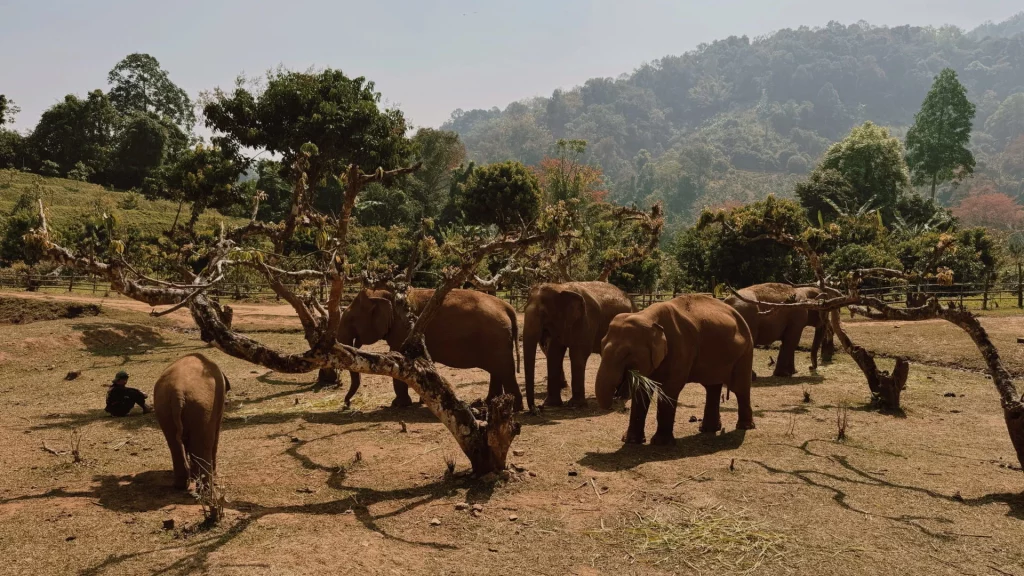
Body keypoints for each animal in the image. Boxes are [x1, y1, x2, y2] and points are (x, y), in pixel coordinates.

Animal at [154, 354, 230, 491]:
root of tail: (177, 392)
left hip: (163, 406)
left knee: (174, 445)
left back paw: (180, 486)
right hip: (202, 406)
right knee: (204, 444)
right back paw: (206, 490)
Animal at [339, 288, 523, 410]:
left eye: (351, 319)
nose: (346, 404)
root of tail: (507, 307)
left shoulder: (404, 330)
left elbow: (400, 359)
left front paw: (398, 405)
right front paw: (421, 401)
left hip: (496, 340)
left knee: (505, 371)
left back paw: (516, 408)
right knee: (498, 371)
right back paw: (489, 403)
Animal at [522, 281, 634, 410]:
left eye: (544, 314)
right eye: (524, 309)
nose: (537, 408)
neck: (560, 287)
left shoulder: (586, 319)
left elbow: (578, 354)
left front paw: (575, 405)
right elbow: (554, 353)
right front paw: (551, 404)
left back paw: (622, 396)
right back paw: (617, 395)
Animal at [595, 294, 755, 445]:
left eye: (627, 353)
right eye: (601, 346)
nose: (616, 398)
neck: (648, 317)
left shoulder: (680, 348)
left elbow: (669, 389)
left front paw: (661, 443)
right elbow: (641, 390)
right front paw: (631, 441)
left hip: (746, 351)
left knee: (740, 387)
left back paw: (745, 426)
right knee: (712, 387)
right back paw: (708, 429)